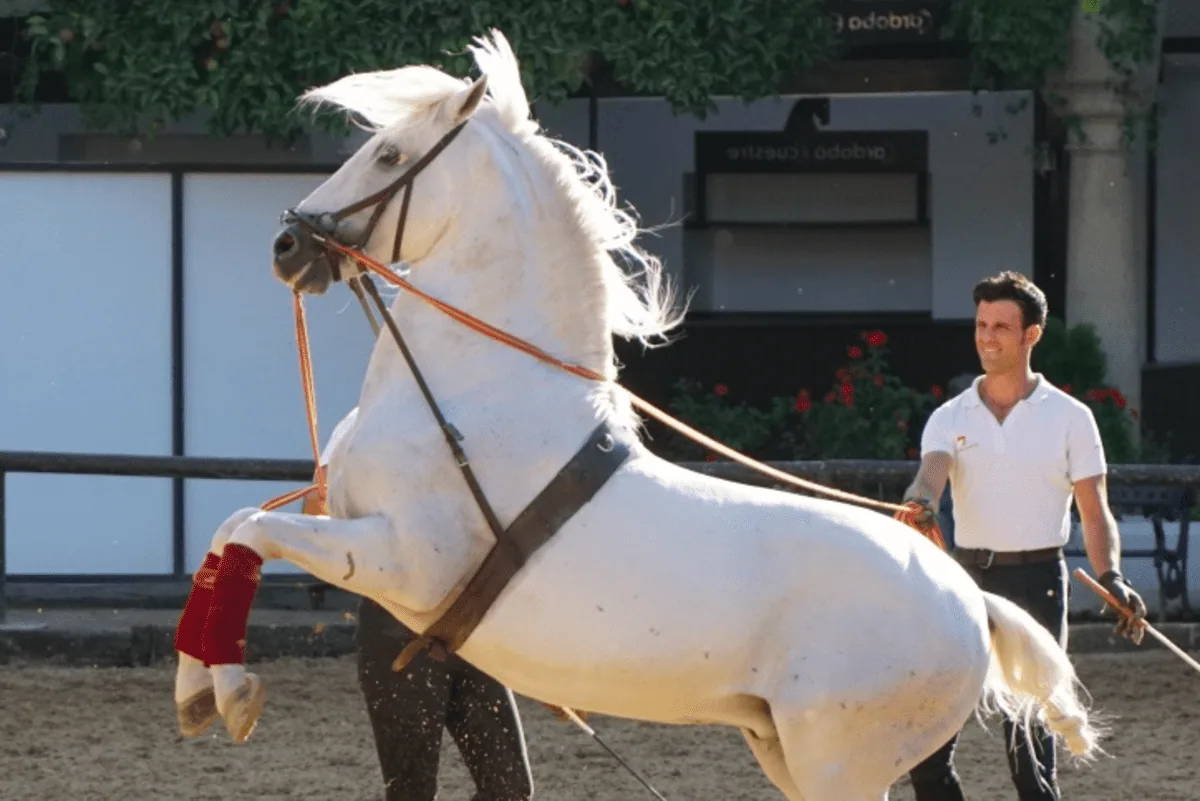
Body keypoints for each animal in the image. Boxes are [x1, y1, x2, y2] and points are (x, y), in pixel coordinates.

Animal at [176, 30, 1104, 800]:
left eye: (388, 154)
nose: (288, 245)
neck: (478, 394)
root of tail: (973, 601)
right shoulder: (348, 523)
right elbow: (231, 526)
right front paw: (195, 689)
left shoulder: (400, 559)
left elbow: (251, 528)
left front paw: (228, 690)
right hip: (791, 755)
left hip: (838, 764)